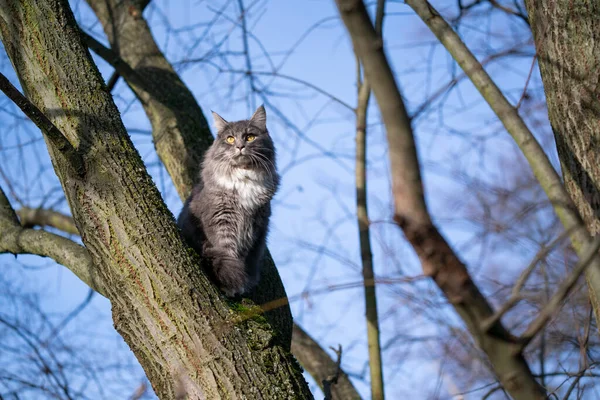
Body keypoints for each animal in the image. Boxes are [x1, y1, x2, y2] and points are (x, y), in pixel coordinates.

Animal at [177, 104, 280, 298]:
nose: (240, 146)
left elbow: (241, 254)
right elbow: (227, 250)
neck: (244, 178)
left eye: (250, 137)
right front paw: (232, 283)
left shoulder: (253, 225)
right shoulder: (221, 218)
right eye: (230, 139)